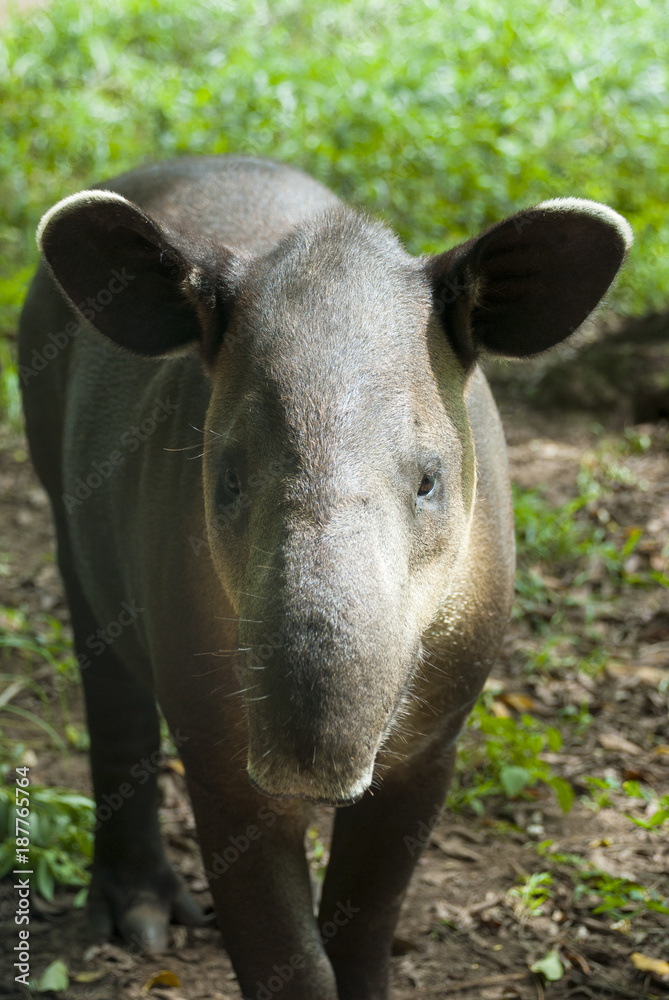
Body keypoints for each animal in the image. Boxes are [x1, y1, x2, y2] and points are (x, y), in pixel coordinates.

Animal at [19, 155, 632, 999]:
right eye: (228, 478)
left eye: (428, 481)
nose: (309, 759)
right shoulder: (219, 739)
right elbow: (286, 955)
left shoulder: (432, 736)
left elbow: (365, 920)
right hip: (55, 471)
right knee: (108, 674)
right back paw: (141, 913)